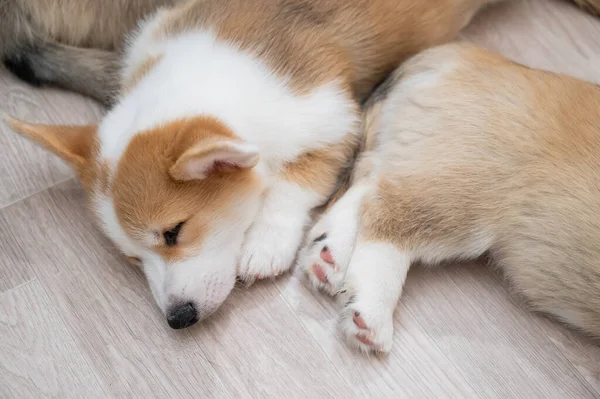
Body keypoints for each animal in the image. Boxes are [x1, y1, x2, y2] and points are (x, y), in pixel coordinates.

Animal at [4, 0, 502, 330]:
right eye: (131, 257)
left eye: (174, 232)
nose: (178, 319)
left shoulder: (337, 121)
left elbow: (292, 184)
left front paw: (265, 243)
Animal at [298, 43, 600, 354]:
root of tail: (462, 52)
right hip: (467, 189)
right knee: (387, 214)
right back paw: (371, 312)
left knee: (372, 179)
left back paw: (330, 255)